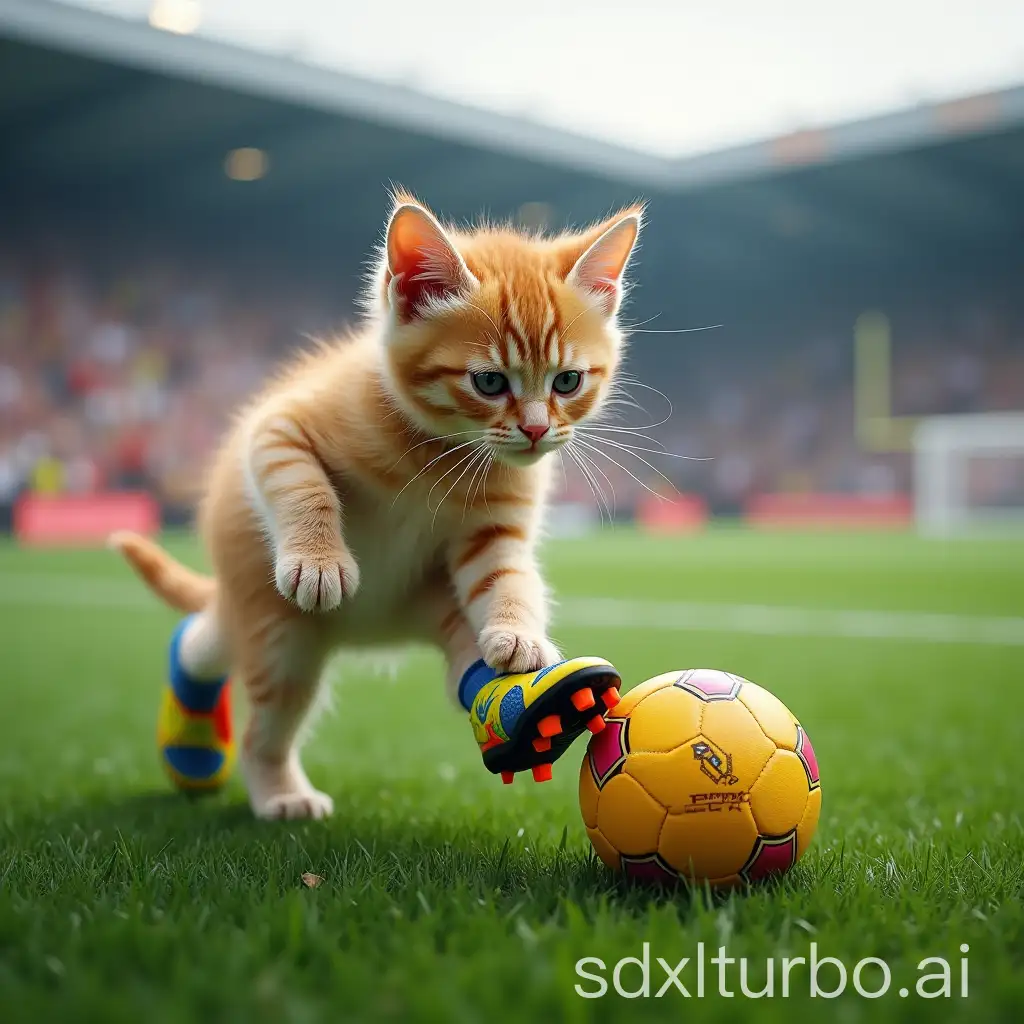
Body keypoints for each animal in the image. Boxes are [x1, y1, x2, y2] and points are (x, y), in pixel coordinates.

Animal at [112, 190, 638, 815]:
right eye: (488, 382)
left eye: (567, 382)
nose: (535, 431)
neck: (443, 452)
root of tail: (368, 631)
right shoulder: (278, 426)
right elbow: (302, 484)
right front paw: (318, 561)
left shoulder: (497, 524)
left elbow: (506, 574)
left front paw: (519, 631)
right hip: (273, 626)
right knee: (239, 692)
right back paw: (268, 785)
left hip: (425, 603)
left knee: (461, 659)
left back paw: (535, 706)